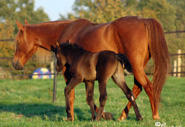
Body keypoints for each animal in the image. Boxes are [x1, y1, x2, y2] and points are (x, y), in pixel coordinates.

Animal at [12, 16, 169, 120]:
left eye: (18, 41)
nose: (15, 63)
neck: (65, 31)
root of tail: (144, 21)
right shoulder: (88, 78)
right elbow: (89, 97)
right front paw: (102, 115)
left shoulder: (69, 74)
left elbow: (71, 94)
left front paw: (71, 117)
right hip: (134, 69)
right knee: (136, 89)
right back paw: (123, 116)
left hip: (136, 67)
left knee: (148, 86)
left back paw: (155, 115)